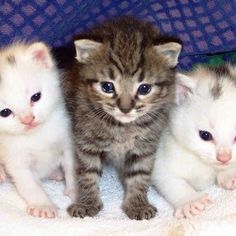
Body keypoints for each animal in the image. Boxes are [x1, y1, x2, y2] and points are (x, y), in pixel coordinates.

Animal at [0, 41, 75, 218]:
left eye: (36, 97)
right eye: (4, 112)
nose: (28, 120)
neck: (38, 136)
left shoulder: (67, 142)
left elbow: (72, 168)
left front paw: (77, 191)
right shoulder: (17, 161)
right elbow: (30, 186)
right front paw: (43, 205)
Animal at [63, 16, 183, 219]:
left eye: (144, 88)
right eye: (107, 87)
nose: (125, 108)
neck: (122, 127)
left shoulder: (145, 145)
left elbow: (140, 174)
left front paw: (137, 204)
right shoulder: (86, 141)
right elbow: (87, 173)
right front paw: (87, 203)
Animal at [152, 64, 236, 219]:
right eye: (205, 135)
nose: (224, 158)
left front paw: (230, 175)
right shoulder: (164, 150)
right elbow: (168, 179)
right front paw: (190, 201)